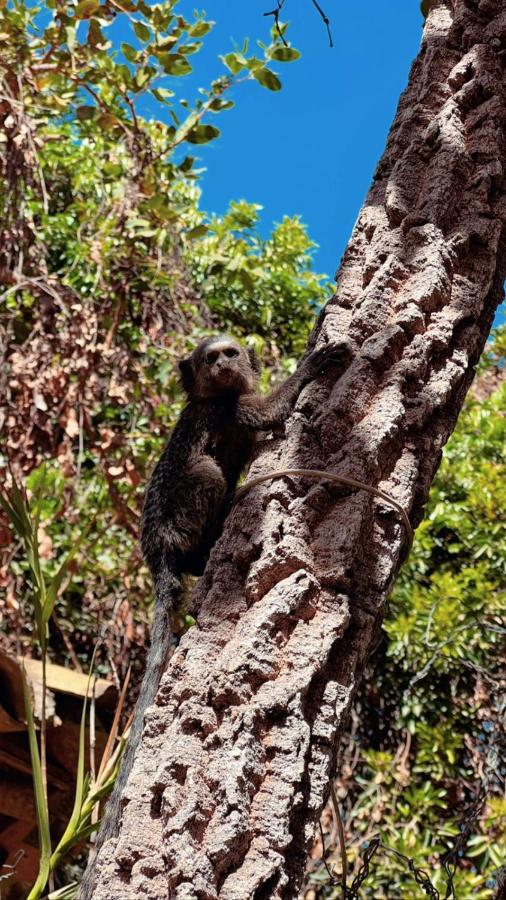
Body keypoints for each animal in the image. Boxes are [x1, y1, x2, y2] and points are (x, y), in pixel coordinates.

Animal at [82, 330, 352, 884]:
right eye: (212, 359)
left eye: (231, 353)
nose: (225, 364)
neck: (217, 393)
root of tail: (159, 552)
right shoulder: (227, 410)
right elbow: (270, 412)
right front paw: (314, 360)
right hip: (181, 516)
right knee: (205, 471)